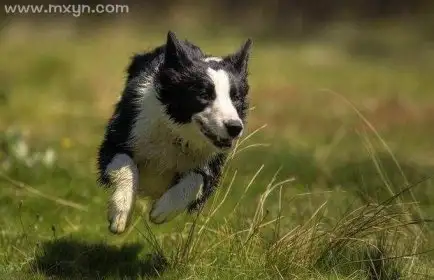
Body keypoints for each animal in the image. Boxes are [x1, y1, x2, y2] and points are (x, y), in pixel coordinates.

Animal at [95, 30, 251, 234]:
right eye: (204, 94)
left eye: (236, 97)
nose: (235, 128)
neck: (177, 134)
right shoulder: (117, 140)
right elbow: (127, 166)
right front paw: (120, 213)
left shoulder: (213, 165)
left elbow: (196, 180)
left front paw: (163, 209)